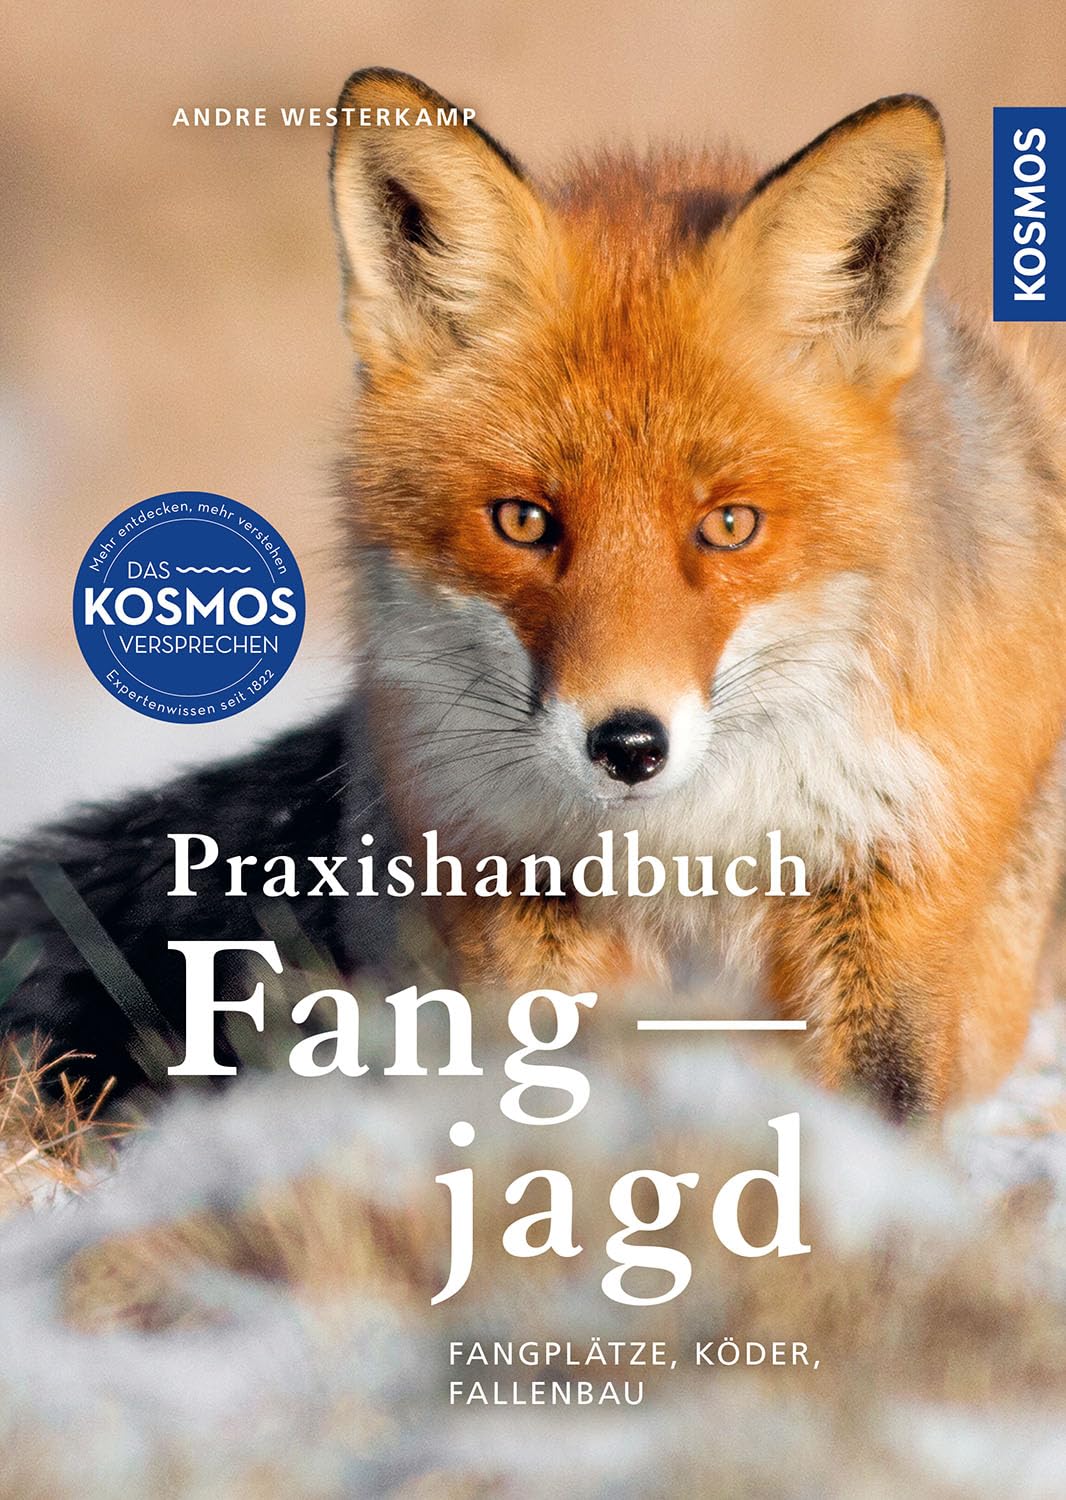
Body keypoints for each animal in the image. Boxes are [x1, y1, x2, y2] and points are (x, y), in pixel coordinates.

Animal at [2, 69, 1064, 1117]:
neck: (688, 837)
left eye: (729, 525)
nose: (628, 745)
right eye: (522, 521)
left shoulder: (892, 887)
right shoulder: (512, 885)